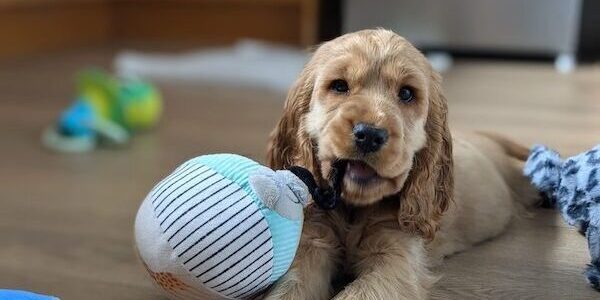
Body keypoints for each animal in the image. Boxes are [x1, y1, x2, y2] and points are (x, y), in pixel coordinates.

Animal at [264, 28, 536, 300]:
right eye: (339, 86)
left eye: (406, 94)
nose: (369, 135)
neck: (354, 209)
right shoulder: (315, 240)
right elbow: (290, 287)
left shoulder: (395, 255)